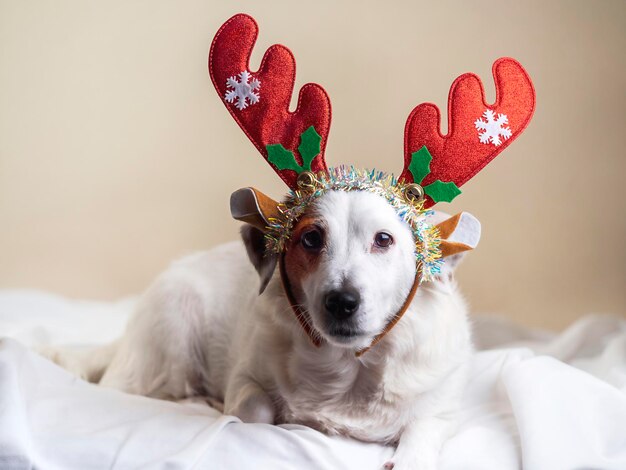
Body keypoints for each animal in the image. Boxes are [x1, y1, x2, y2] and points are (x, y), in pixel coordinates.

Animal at [45, 185, 478, 468]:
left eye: (383, 239)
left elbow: (420, 436)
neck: (348, 370)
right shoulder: (245, 375)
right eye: (311, 238)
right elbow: (257, 411)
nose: (341, 301)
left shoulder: (443, 412)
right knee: (144, 389)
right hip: (173, 328)